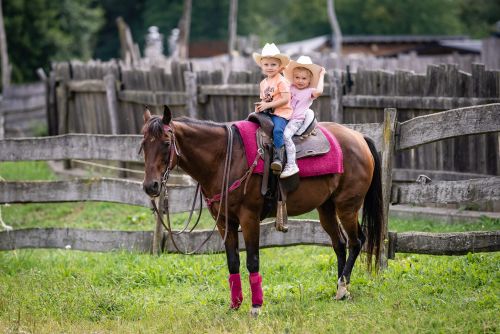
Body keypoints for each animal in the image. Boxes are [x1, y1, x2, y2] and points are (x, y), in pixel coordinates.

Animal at [141, 105, 382, 314]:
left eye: (166, 143)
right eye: (143, 144)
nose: (150, 186)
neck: (224, 158)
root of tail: (359, 138)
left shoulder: (249, 217)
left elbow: (252, 260)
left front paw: (256, 306)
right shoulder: (224, 222)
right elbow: (233, 262)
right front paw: (235, 305)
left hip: (347, 207)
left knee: (356, 242)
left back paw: (342, 288)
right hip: (326, 208)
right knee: (339, 244)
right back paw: (341, 289)